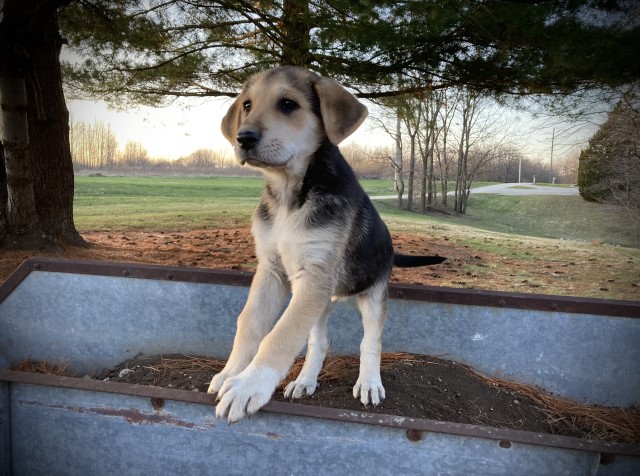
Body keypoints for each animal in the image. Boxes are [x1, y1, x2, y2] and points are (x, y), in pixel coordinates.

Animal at [208, 66, 442, 420]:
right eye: (247, 105)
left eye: (288, 104)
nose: (243, 138)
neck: (289, 195)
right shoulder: (273, 271)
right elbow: (250, 323)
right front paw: (230, 373)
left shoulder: (314, 275)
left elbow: (280, 334)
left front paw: (249, 386)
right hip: (321, 299)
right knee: (320, 340)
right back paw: (305, 380)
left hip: (371, 292)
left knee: (371, 342)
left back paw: (369, 383)